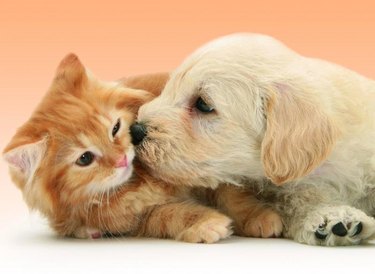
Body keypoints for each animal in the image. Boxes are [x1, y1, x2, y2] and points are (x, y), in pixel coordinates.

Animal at [1, 54, 280, 242]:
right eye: (85, 159)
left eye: (115, 128)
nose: (122, 159)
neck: (139, 179)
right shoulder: (136, 218)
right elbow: (172, 214)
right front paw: (208, 224)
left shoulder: (213, 170)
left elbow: (233, 197)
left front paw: (262, 218)